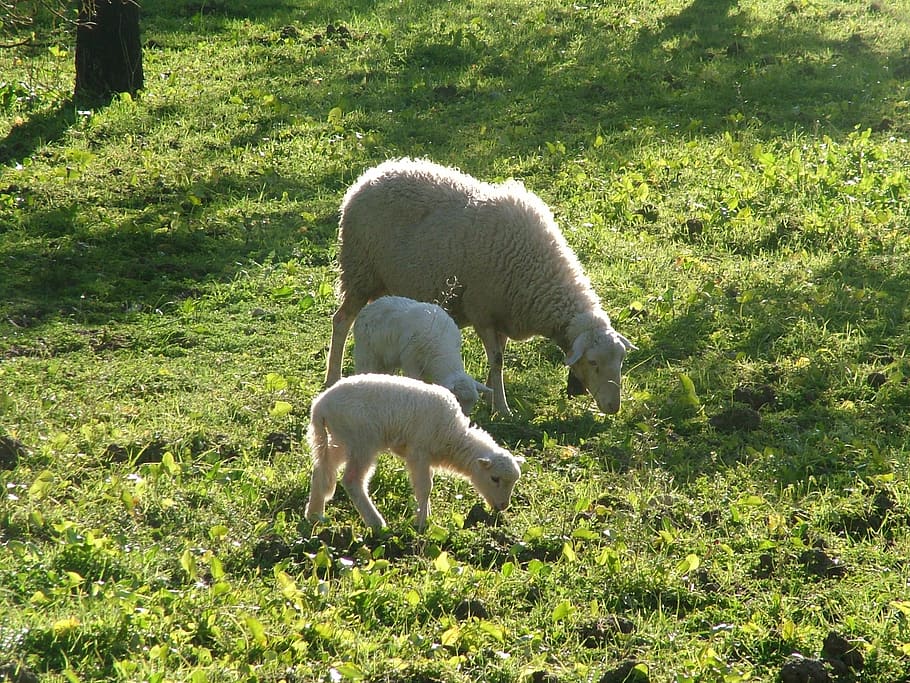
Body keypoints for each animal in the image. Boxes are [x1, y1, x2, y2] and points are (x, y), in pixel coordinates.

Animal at [304, 373, 523, 531]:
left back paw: (314, 515)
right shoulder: (419, 452)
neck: (453, 436)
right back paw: (376, 523)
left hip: (341, 440)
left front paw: (425, 514)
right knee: (352, 481)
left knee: (322, 470)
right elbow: (425, 487)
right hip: (362, 442)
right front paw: (421, 522)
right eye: (494, 478)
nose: (503, 506)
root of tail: (319, 406)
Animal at [352, 295, 492, 415]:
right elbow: (415, 380)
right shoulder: (410, 360)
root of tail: (370, 306)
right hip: (366, 352)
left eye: (473, 403)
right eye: (456, 398)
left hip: (386, 360)